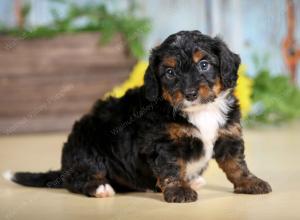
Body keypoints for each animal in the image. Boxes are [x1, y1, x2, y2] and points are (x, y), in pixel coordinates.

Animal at [4, 31, 272, 203]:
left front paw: (251, 183)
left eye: (204, 64)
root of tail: (65, 166)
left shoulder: (228, 135)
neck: (200, 112)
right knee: (80, 179)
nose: (190, 94)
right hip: (89, 149)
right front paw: (179, 191)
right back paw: (100, 188)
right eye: (170, 72)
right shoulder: (164, 144)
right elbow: (171, 168)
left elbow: (236, 164)